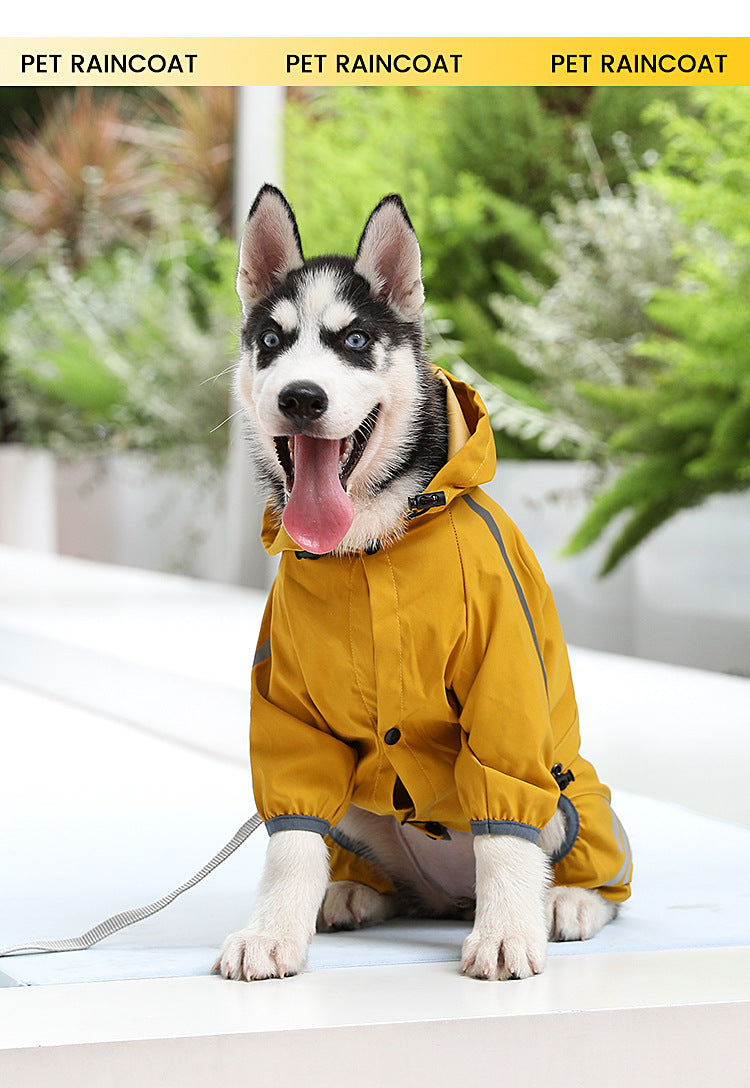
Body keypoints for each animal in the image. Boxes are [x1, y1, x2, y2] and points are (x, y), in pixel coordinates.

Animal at [216, 189, 631, 987]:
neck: (371, 545)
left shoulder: (504, 682)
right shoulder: (287, 706)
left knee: (560, 857)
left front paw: (507, 933)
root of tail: (448, 893)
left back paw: (565, 902)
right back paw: (352, 892)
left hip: (568, 792)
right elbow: (291, 839)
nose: (302, 398)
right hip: (360, 808)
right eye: (272, 341)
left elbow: (506, 833)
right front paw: (272, 931)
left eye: (353, 340)